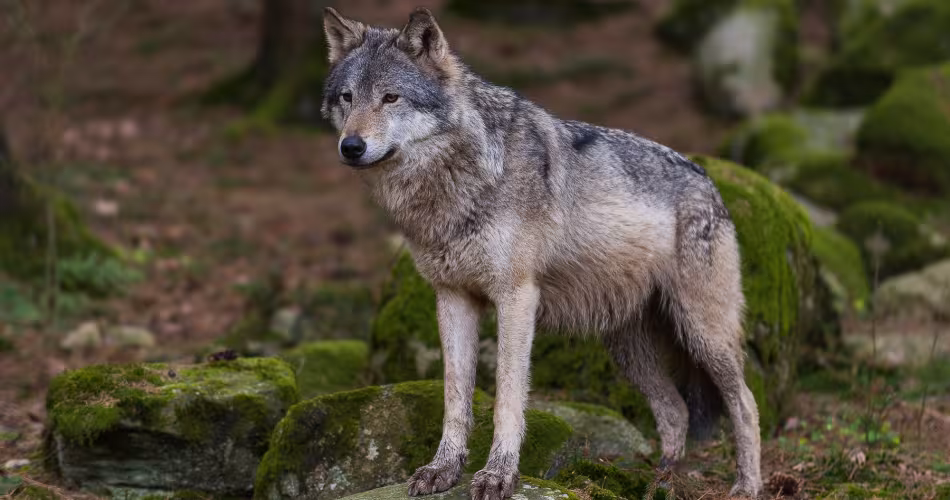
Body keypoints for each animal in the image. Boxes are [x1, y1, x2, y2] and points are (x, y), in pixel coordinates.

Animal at [321, 7, 762, 499]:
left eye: (391, 97)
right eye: (347, 97)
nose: (351, 146)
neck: (461, 178)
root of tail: (709, 182)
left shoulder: (516, 298)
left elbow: (508, 398)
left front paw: (498, 475)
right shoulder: (452, 298)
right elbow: (454, 397)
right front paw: (442, 469)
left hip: (702, 332)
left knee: (745, 403)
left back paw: (746, 485)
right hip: (629, 350)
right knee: (675, 409)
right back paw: (659, 480)